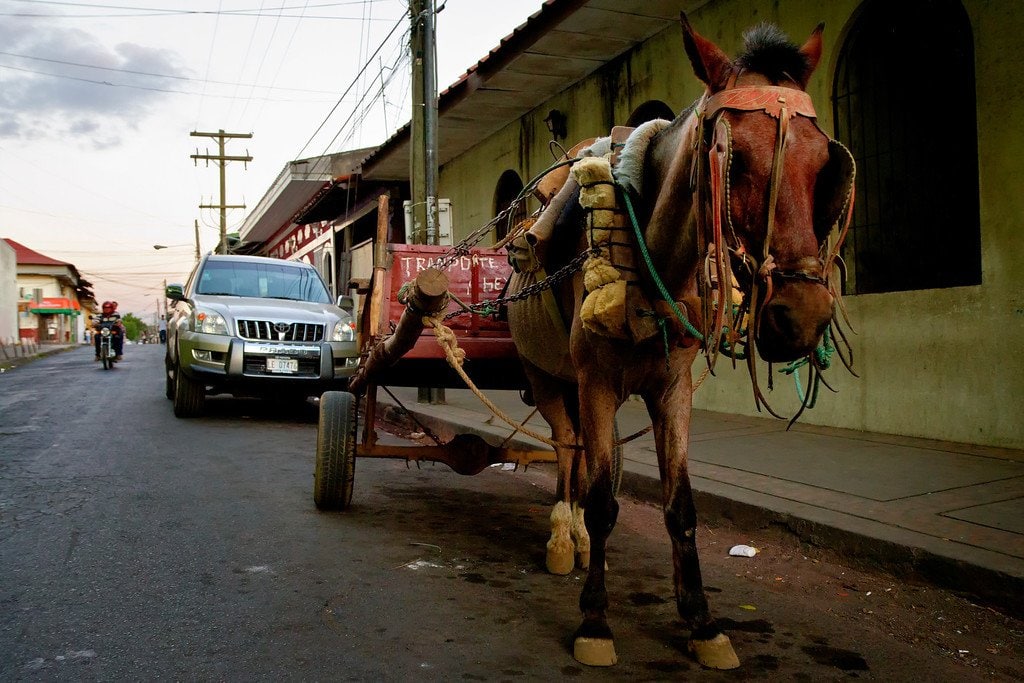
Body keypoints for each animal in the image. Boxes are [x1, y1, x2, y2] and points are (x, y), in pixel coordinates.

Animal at [505, 13, 856, 671]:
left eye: (825, 161)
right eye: (732, 157)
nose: (801, 315)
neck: (655, 257)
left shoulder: (670, 390)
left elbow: (681, 506)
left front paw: (701, 622)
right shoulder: (595, 381)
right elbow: (604, 500)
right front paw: (595, 622)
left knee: (582, 455)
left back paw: (580, 540)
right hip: (549, 378)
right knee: (566, 451)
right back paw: (565, 535)